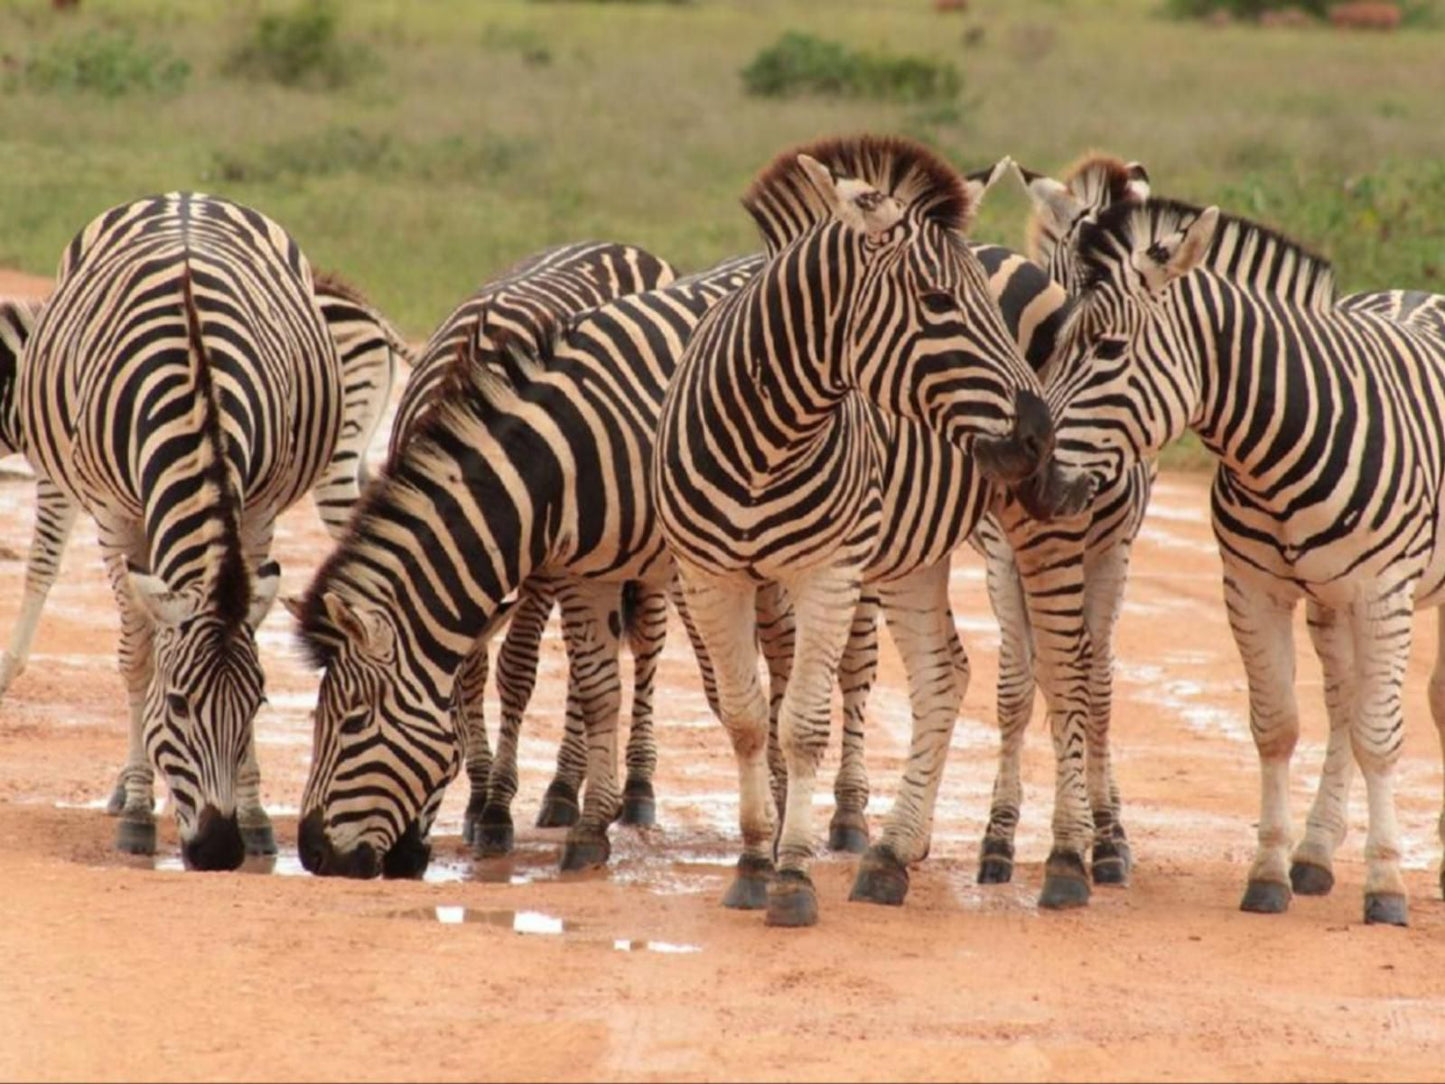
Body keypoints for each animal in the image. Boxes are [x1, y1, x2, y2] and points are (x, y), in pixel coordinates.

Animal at [19, 193, 343, 872]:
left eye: (258, 703)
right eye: (178, 705)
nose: (219, 850)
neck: (196, 387)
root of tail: (184, 197)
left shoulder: (259, 510)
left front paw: (255, 816)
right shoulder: (115, 518)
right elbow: (139, 657)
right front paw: (141, 810)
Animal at [381, 239, 679, 855]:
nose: (403, 852)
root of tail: (626, 246)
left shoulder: (539, 564)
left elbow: (516, 670)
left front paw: (496, 810)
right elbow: (473, 671)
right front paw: (478, 798)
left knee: (647, 642)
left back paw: (636, 788)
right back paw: (566, 789)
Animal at [650, 135, 1086, 930]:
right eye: (938, 302)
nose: (1039, 435)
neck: (769, 434)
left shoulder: (826, 573)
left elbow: (801, 724)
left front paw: (792, 878)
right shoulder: (708, 576)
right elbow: (746, 718)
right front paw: (753, 864)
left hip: (1042, 531)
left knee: (1067, 675)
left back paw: (1068, 861)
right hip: (915, 548)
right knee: (945, 673)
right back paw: (891, 855)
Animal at [1046, 195, 1445, 925]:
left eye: (1109, 349)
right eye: (1053, 346)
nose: (1034, 483)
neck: (1278, 443)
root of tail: (1413, 290)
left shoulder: (1382, 592)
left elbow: (1379, 735)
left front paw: (1385, 886)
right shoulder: (1252, 587)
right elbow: (1277, 726)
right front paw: (1269, 873)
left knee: (1416, 700)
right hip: (1328, 596)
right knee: (1341, 700)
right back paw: (1315, 854)